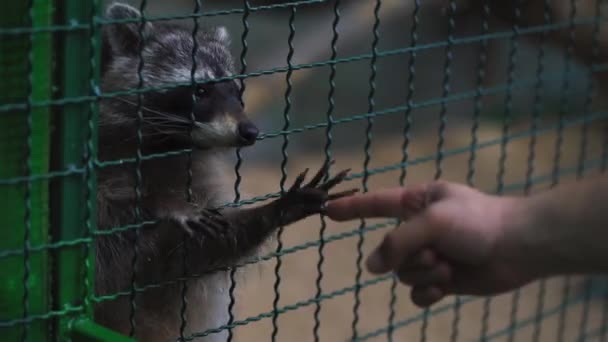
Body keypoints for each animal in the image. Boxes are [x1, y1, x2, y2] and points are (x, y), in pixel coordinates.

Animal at [92, 3, 354, 342]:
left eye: (236, 90)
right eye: (201, 90)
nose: (250, 131)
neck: (165, 142)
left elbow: (196, 252)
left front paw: (277, 209)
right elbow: (103, 213)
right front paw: (160, 203)